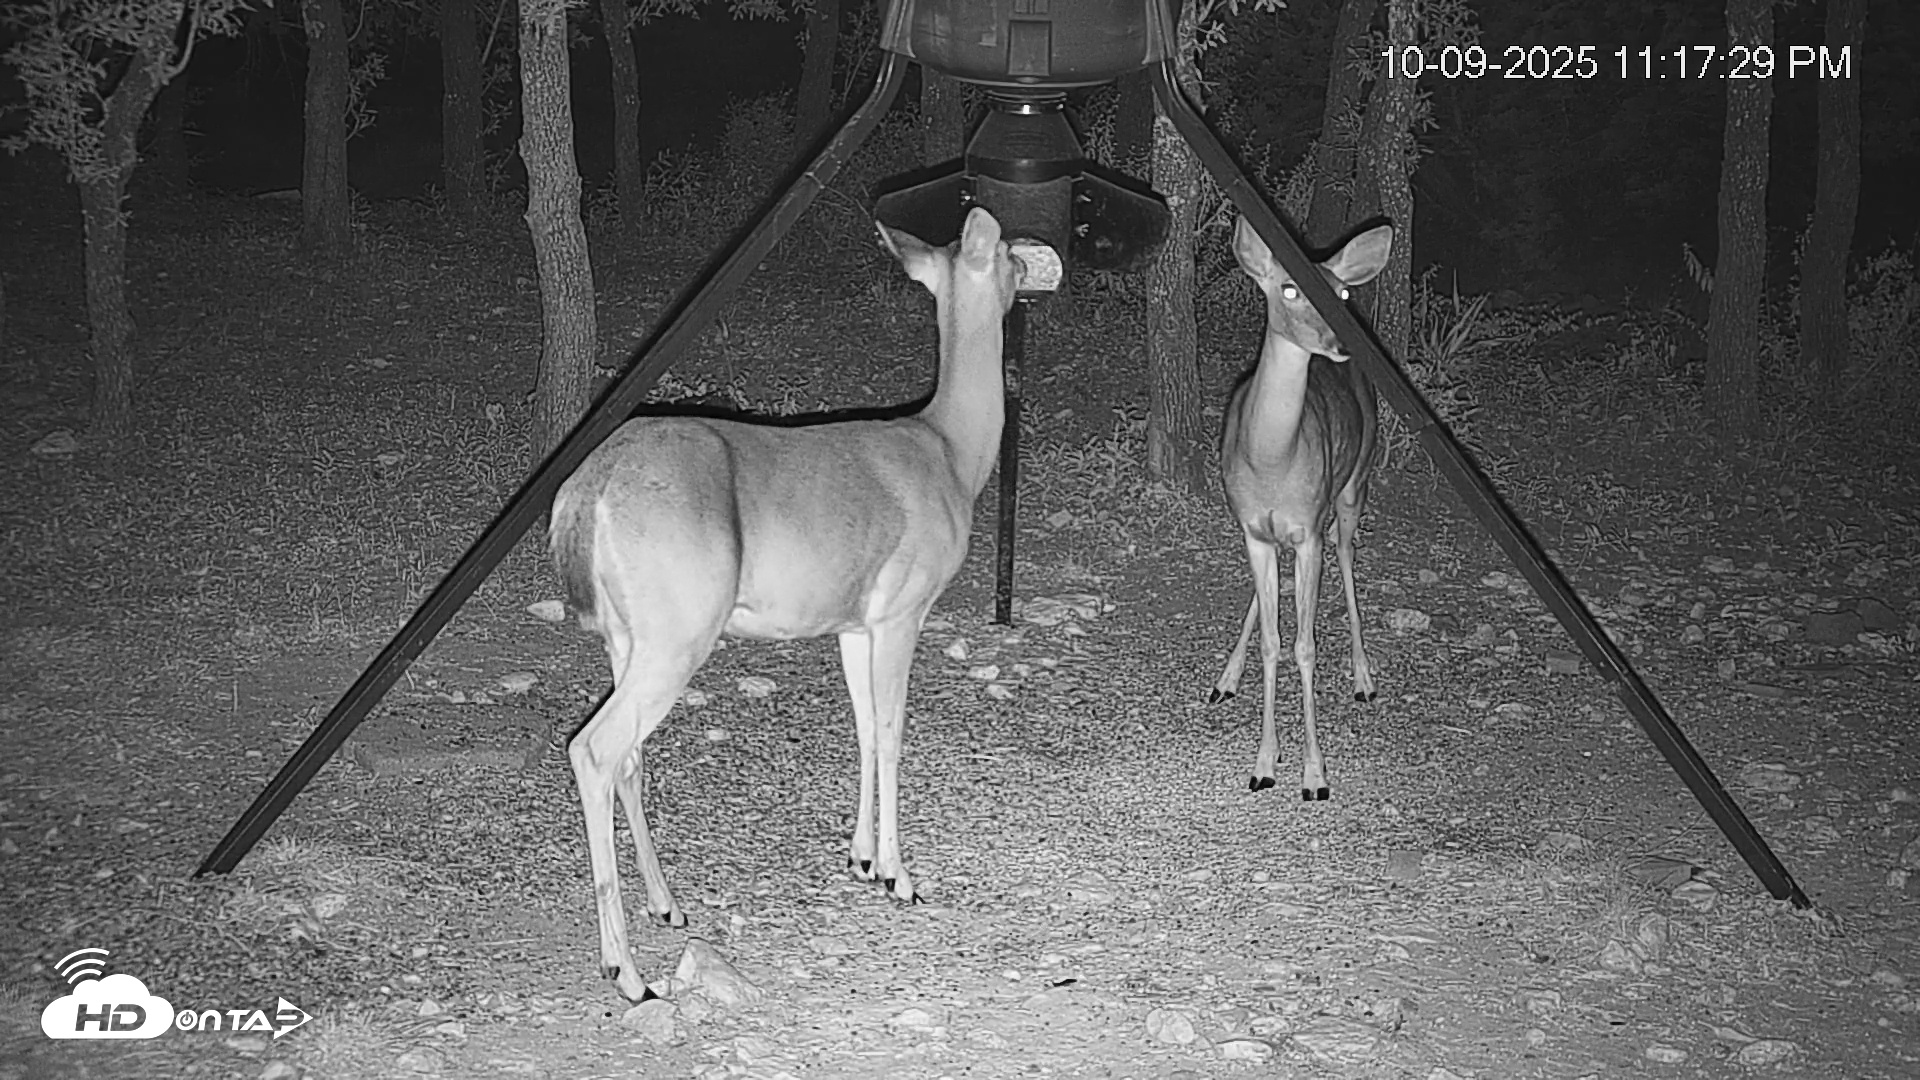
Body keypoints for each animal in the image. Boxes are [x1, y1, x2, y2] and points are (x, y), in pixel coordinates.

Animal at [547, 207, 1022, 1002]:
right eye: (1013, 257)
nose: (1038, 267)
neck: (952, 453)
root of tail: (587, 492)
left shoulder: (854, 623)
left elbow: (862, 730)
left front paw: (861, 859)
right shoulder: (904, 608)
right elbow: (891, 732)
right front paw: (900, 876)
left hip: (628, 635)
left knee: (629, 756)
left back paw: (666, 906)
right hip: (680, 628)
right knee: (595, 747)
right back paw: (626, 971)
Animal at [1210, 215, 1393, 801]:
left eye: (1342, 293)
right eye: (1289, 289)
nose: (1340, 341)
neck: (1272, 460)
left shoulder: (1308, 531)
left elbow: (1305, 646)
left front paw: (1314, 774)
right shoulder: (1253, 530)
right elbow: (1273, 641)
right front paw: (1265, 763)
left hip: (1354, 482)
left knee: (1347, 552)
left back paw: (1363, 678)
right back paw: (1225, 679)